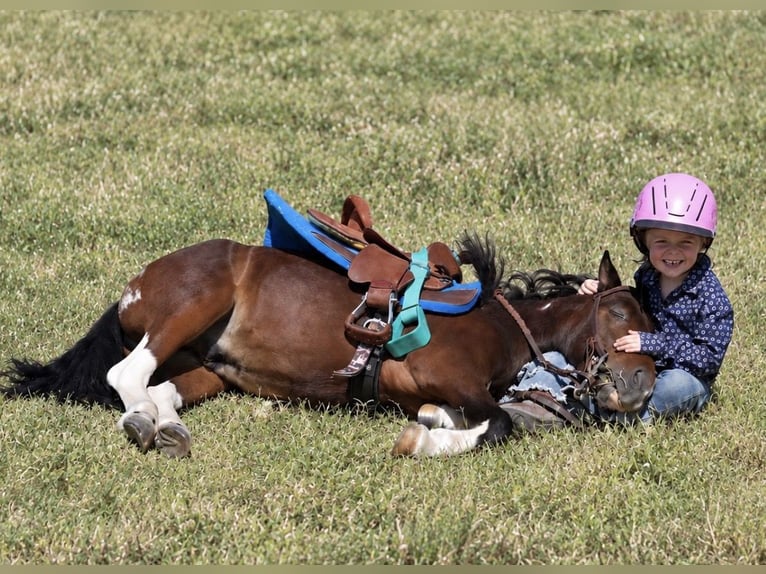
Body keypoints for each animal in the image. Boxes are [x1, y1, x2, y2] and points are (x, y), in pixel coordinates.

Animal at [1, 231, 656, 457]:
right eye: (619, 311)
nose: (641, 385)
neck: (497, 321)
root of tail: (133, 288)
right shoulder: (452, 377)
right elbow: (497, 425)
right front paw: (421, 441)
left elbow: (460, 415)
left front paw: (430, 424)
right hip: (196, 302)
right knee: (127, 377)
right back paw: (141, 423)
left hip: (211, 368)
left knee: (163, 390)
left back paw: (165, 429)